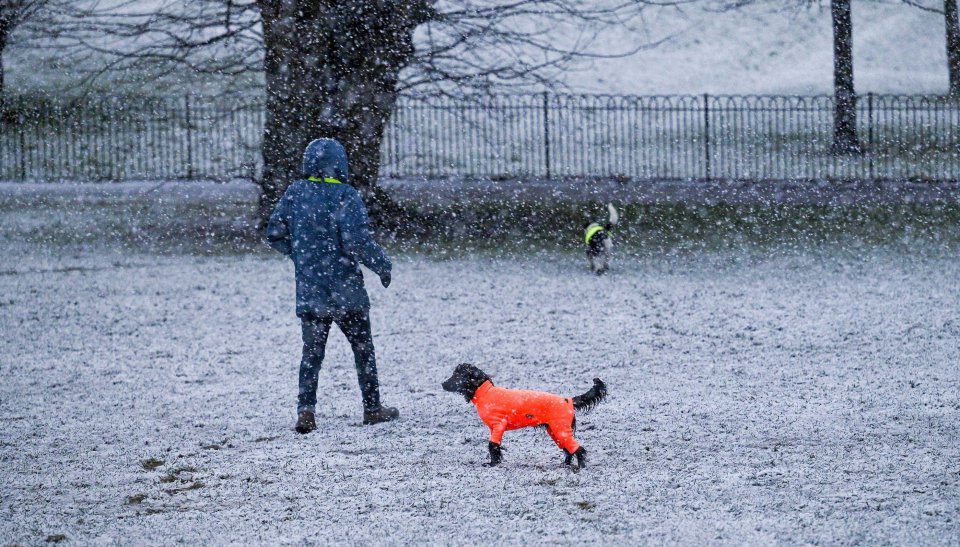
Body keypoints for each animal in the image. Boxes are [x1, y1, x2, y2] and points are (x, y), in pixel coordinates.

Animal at [442, 364, 608, 470]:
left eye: (457, 375)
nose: (443, 384)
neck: (485, 392)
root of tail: (569, 400)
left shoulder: (498, 425)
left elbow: (492, 445)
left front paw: (492, 464)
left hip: (560, 429)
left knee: (578, 449)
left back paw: (581, 467)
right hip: (555, 431)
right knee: (568, 449)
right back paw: (565, 464)